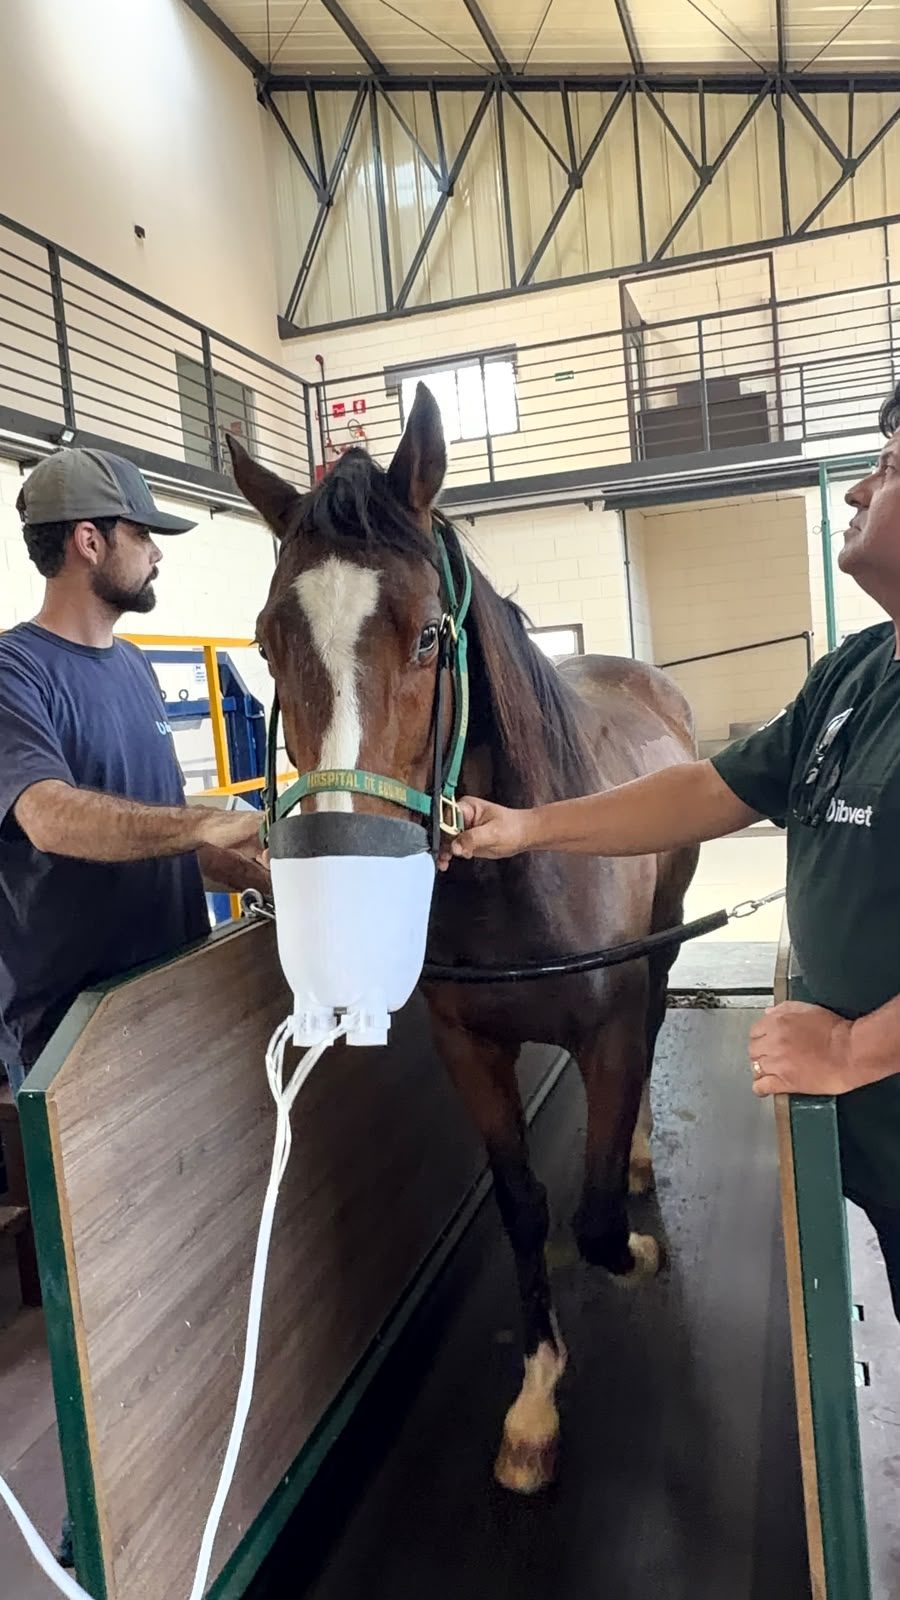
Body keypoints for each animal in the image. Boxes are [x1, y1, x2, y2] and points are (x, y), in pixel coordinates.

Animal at [226, 385, 698, 1495]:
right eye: (267, 643)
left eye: (430, 638)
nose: (341, 870)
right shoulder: (468, 1051)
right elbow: (524, 1205)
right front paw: (536, 1398)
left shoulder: (608, 1034)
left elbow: (596, 1218)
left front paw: (635, 1252)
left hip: (663, 946)